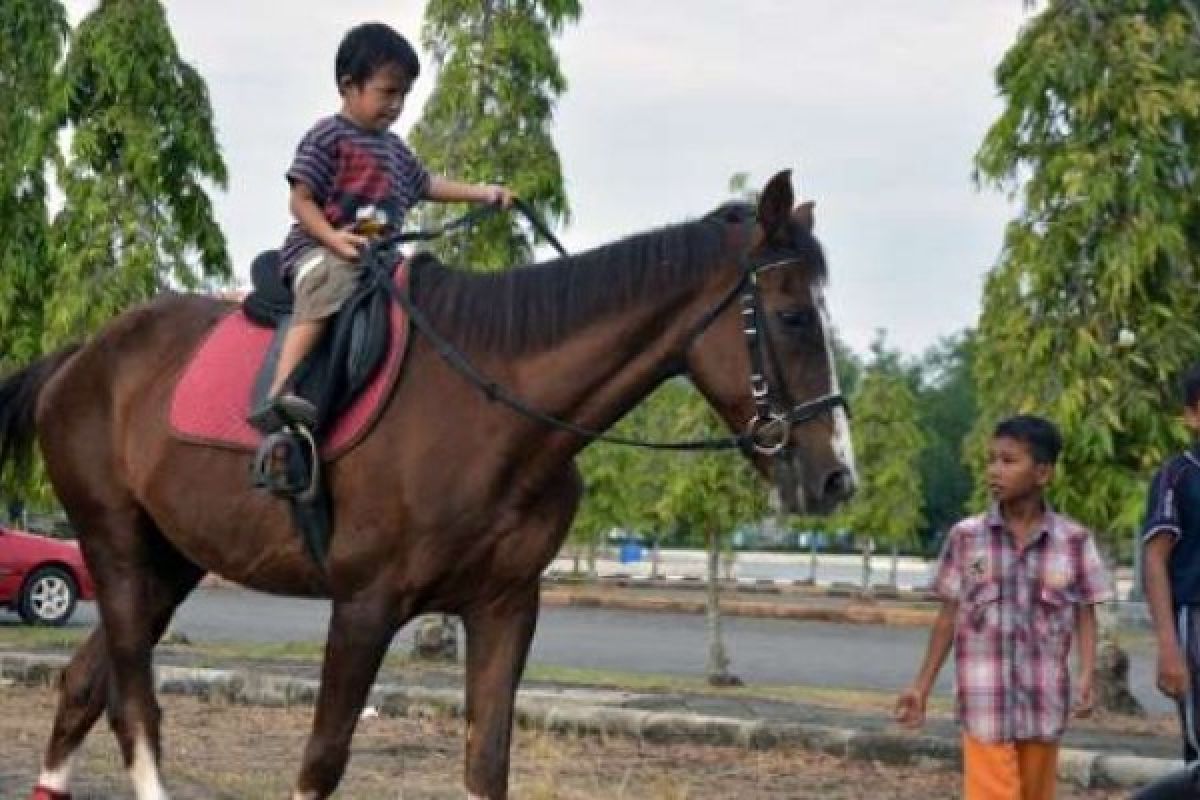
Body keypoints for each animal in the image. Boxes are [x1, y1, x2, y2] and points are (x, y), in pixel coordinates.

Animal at [4, 170, 859, 800]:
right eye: (791, 317)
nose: (835, 477)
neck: (495, 409)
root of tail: (83, 355)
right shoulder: (364, 606)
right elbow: (322, 760)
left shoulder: (505, 607)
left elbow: (486, 766)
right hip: (115, 546)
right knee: (132, 704)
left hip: (170, 561)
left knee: (84, 687)